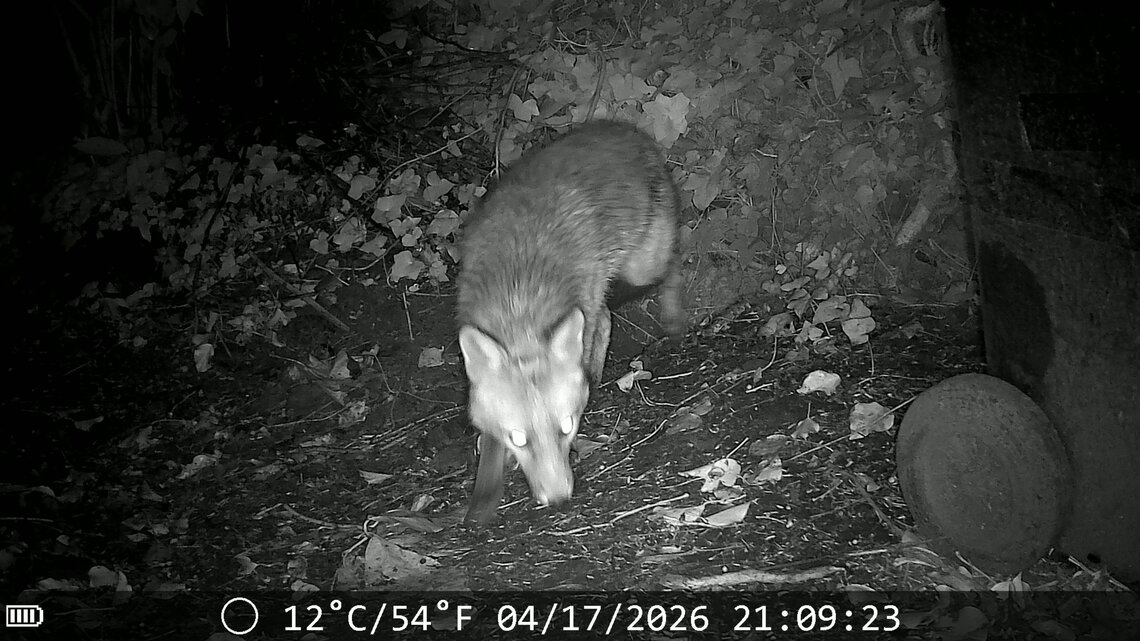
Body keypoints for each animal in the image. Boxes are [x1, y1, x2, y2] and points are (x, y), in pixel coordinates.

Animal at [456, 120, 685, 524]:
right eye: (519, 439)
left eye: (567, 427)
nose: (560, 500)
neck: (520, 304)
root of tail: (628, 130)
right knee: (608, 317)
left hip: (643, 268)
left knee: (670, 269)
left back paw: (672, 318)